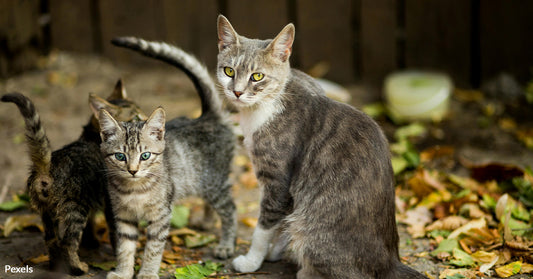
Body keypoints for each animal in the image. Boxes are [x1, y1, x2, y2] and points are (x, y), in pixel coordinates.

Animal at [0, 80, 145, 276]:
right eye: (136, 116)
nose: (147, 118)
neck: (92, 136)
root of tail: (47, 167)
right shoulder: (110, 203)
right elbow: (117, 235)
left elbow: (92, 225)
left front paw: (92, 242)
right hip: (75, 208)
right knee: (68, 242)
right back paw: (78, 268)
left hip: (47, 212)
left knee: (51, 240)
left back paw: (54, 267)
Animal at [97, 37, 235, 279]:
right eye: (120, 156)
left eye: (145, 155)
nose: (133, 170)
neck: (135, 190)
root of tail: (207, 117)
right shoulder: (123, 217)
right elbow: (125, 247)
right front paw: (123, 271)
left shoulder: (161, 215)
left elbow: (153, 247)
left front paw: (147, 272)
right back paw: (207, 221)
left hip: (214, 183)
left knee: (230, 209)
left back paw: (226, 244)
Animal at [214, 15, 426, 279]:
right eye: (229, 71)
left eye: (257, 77)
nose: (237, 92)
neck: (264, 107)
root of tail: (389, 262)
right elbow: (285, 218)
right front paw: (276, 250)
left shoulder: (277, 179)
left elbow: (264, 226)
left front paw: (252, 260)